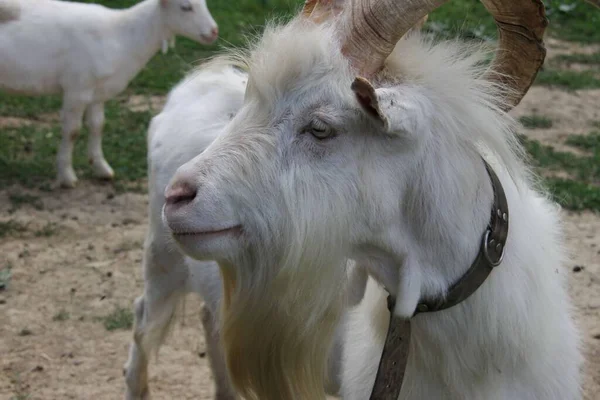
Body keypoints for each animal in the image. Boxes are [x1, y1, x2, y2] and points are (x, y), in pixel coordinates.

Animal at [0, 0, 219, 188]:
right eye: (185, 7)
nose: (214, 31)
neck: (122, 35)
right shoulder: (77, 89)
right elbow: (72, 131)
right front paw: (66, 175)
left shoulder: (98, 92)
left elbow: (97, 125)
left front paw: (101, 168)